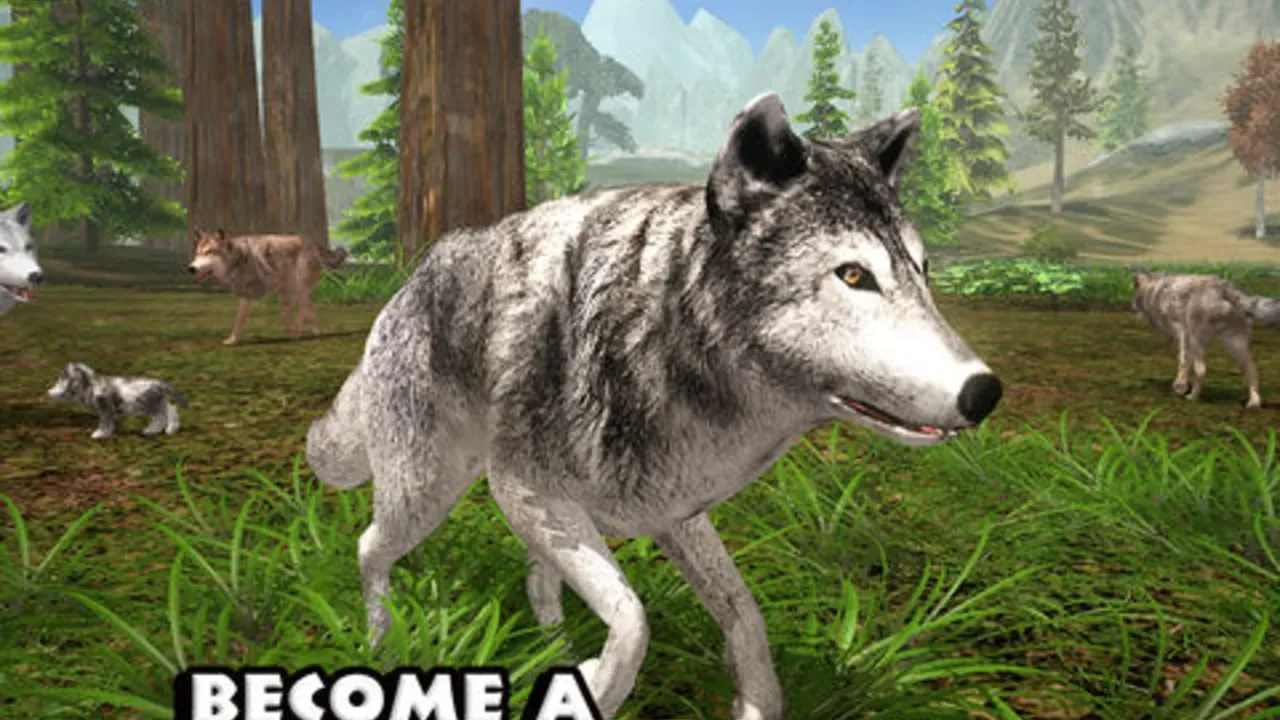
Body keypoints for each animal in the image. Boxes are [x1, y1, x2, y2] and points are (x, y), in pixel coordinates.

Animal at [47, 362, 189, 440]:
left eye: (61, 379)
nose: (49, 392)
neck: (91, 386)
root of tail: (159, 383)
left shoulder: (105, 408)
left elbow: (104, 423)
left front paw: (99, 434)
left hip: (152, 406)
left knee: (161, 417)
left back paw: (151, 431)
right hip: (159, 403)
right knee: (171, 410)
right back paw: (170, 430)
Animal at [187, 227, 348, 345]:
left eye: (209, 252)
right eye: (197, 254)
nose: (191, 268)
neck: (237, 260)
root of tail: (311, 242)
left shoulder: (264, 292)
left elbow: (244, 319)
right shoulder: (248, 296)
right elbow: (240, 320)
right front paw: (233, 339)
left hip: (298, 290)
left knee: (307, 308)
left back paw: (308, 332)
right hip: (292, 292)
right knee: (303, 310)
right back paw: (298, 332)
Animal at [305, 93, 1003, 720]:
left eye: (923, 271)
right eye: (855, 276)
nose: (985, 392)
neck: (664, 346)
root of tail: (411, 281)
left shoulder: (674, 516)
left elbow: (745, 619)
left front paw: (753, 703)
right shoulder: (527, 491)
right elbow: (635, 617)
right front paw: (595, 693)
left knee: (537, 583)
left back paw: (553, 654)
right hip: (425, 493)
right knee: (369, 548)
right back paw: (382, 645)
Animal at [1132, 269, 1280, 408]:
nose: (1131, 306)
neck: (1155, 290)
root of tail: (1225, 287)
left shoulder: (1183, 334)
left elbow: (1183, 361)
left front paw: (1180, 387)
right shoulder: (1190, 341)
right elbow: (1187, 363)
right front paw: (1181, 385)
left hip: (1200, 339)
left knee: (1202, 370)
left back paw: (1192, 397)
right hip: (1233, 344)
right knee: (1252, 370)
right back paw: (1254, 403)